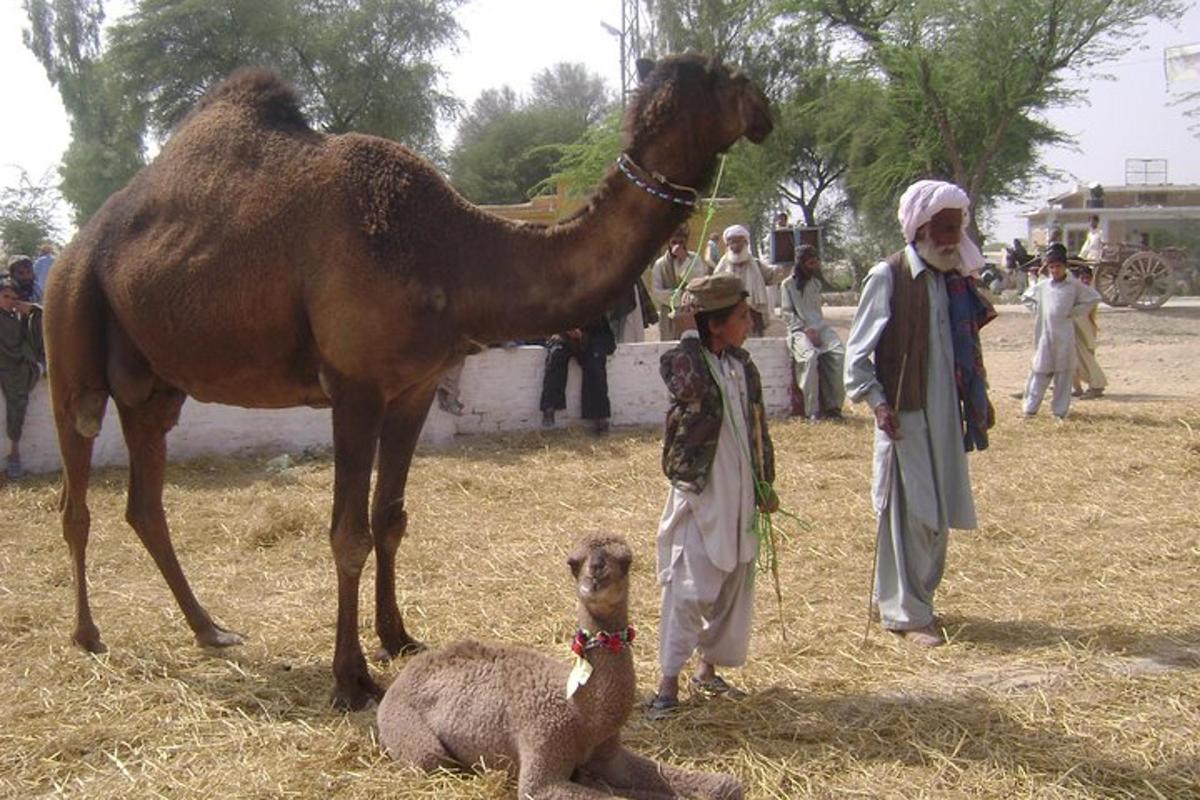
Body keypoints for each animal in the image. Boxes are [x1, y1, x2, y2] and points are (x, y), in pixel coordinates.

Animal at [44, 53, 768, 710]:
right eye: (719, 73)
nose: (764, 105)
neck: (449, 251)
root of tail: (79, 244)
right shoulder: (354, 385)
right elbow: (348, 533)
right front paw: (351, 679)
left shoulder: (415, 387)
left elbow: (388, 517)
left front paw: (398, 638)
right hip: (69, 325)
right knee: (77, 485)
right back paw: (87, 635)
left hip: (155, 386)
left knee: (145, 502)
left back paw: (210, 629)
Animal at [381, 532, 739, 800]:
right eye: (572, 562)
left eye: (627, 561)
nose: (596, 577)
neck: (582, 714)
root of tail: (406, 671)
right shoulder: (543, 753)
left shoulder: (610, 754)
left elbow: (716, 784)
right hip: (407, 729)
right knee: (431, 757)